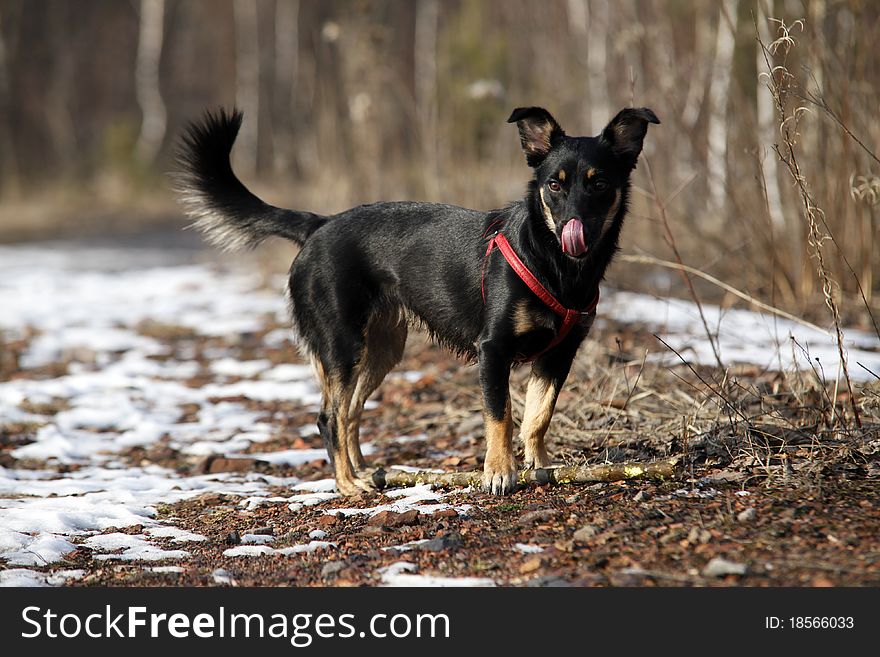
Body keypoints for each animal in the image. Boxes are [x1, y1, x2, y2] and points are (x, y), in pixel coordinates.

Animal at [175, 105, 656, 494]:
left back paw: (364, 471)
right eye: (554, 186)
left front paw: (541, 466)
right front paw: (499, 473)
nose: (576, 227)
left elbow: (539, 417)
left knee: (350, 413)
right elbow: (500, 418)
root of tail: (319, 225)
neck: (556, 264)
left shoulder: (559, 354)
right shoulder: (493, 351)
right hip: (342, 345)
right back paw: (348, 485)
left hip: (382, 348)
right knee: (329, 417)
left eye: (599, 185)